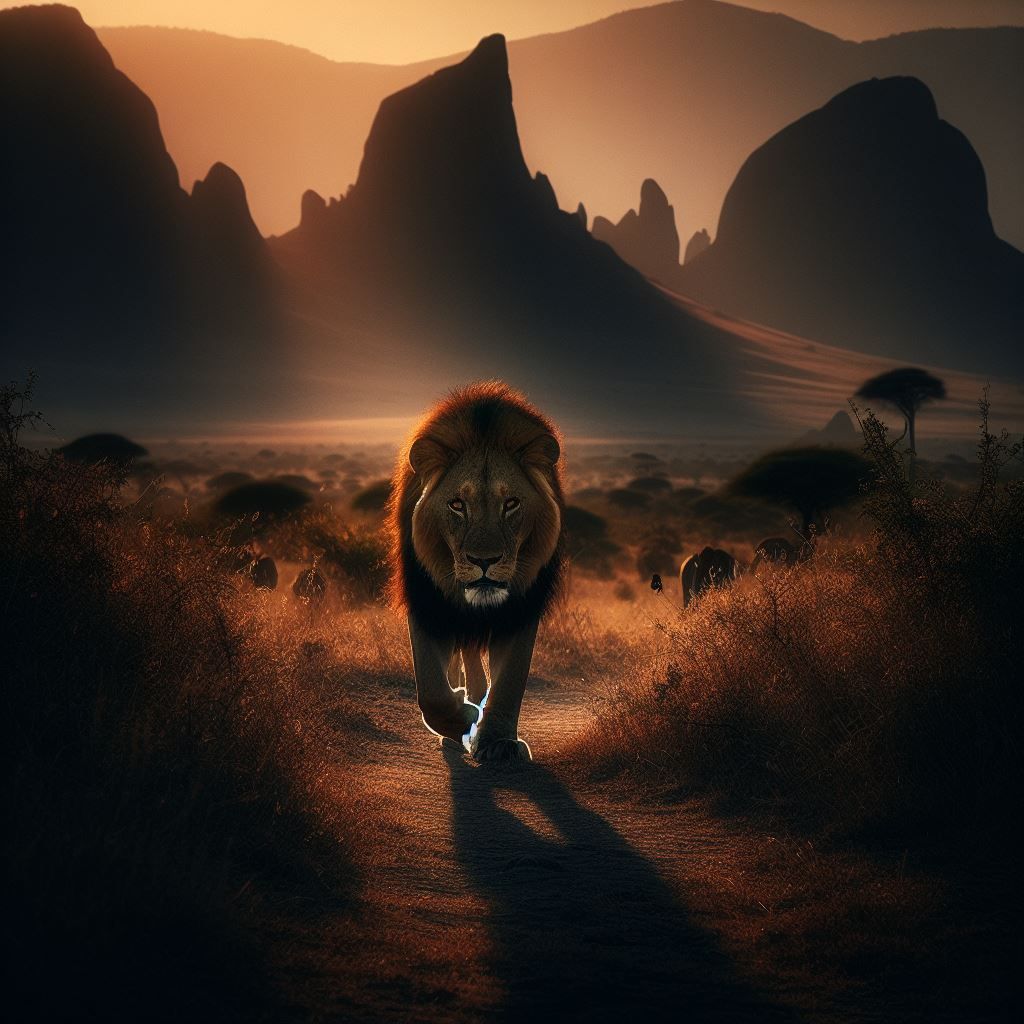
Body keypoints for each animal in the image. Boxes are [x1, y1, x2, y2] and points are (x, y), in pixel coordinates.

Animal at [386, 381, 565, 762]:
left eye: (511, 503)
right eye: (457, 504)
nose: (485, 560)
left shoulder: (521, 608)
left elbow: (511, 680)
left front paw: (499, 742)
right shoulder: (428, 602)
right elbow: (431, 692)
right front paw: (464, 717)